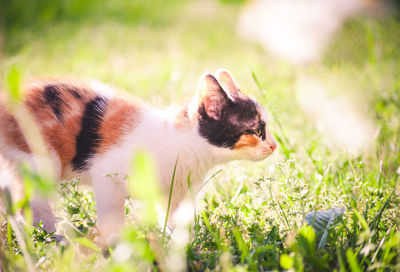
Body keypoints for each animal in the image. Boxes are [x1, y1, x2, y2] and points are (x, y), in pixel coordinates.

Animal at [0, 69, 276, 243]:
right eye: (256, 131)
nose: (274, 146)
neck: (185, 144)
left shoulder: (179, 191)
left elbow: (175, 218)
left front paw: (180, 244)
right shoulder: (107, 172)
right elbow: (112, 214)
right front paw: (115, 244)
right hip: (40, 160)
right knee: (32, 202)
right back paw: (51, 238)